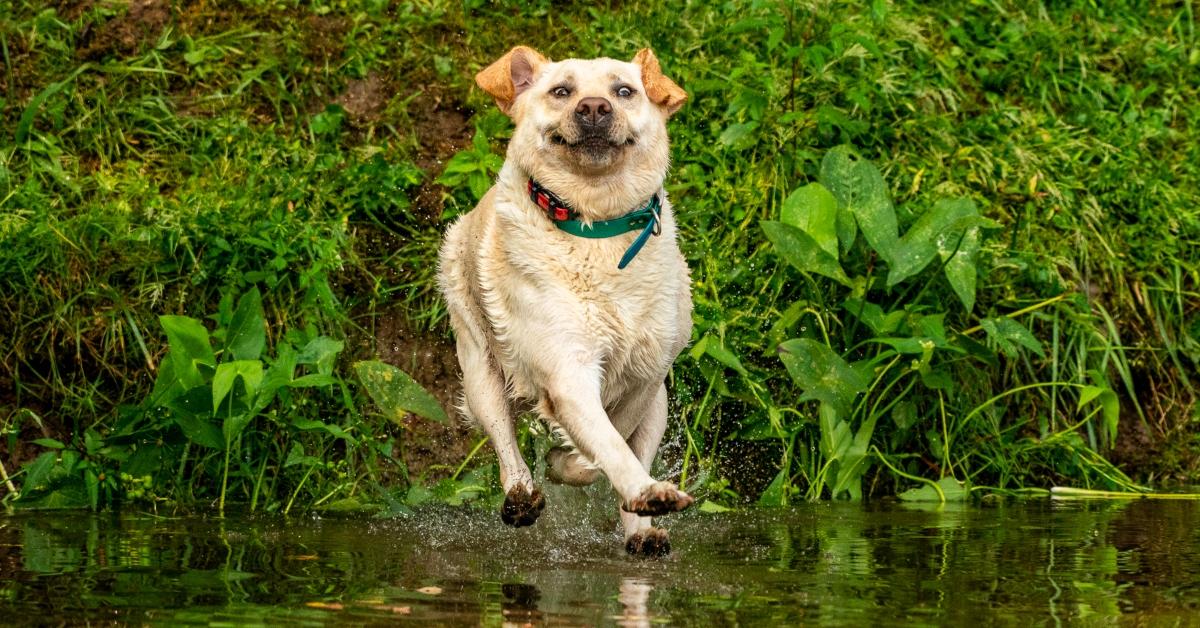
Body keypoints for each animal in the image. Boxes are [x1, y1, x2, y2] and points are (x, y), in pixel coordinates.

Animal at [436, 45, 691, 554]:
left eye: (624, 91)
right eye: (561, 91)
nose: (593, 107)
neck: (596, 226)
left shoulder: (646, 377)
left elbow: (613, 443)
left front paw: (634, 493)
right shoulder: (566, 370)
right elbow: (603, 445)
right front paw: (568, 466)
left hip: (660, 406)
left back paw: (642, 532)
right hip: (479, 369)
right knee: (505, 441)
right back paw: (521, 496)